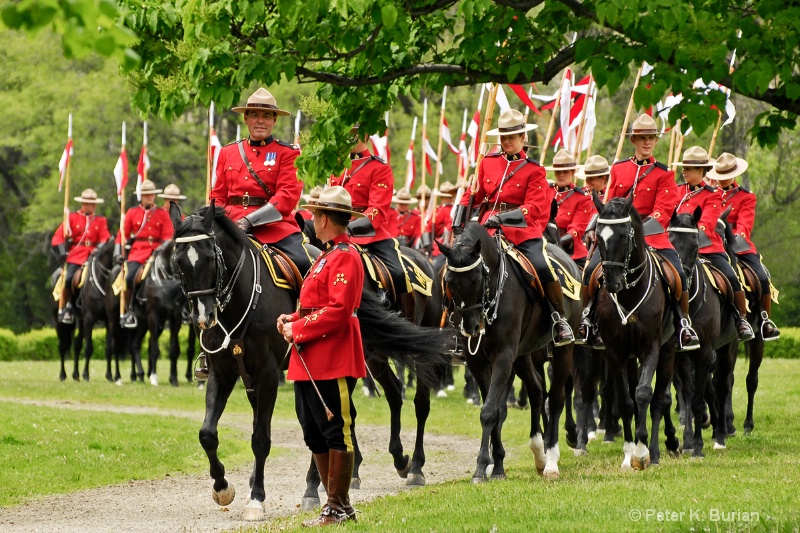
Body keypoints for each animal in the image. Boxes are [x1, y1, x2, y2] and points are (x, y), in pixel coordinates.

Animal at [170, 206, 450, 520]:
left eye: (209, 257)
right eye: (178, 261)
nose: (202, 317)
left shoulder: (267, 375)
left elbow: (261, 438)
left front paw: (256, 498)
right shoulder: (223, 373)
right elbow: (208, 433)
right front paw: (222, 487)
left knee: (417, 403)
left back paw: (409, 469)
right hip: (369, 356)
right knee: (390, 393)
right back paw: (392, 462)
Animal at [440, 222, 580, 480]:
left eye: (478, 279)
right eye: (449, 280)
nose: (471, 327)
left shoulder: (503, 356)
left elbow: (490, 411)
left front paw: (481, 468)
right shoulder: (477, 361)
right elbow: (495, 409)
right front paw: (496, 466)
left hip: (563, 350)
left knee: (556, 398)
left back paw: (551, 460)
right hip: (523, 356)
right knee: (537, 390)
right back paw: (539, 452)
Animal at [592, 193, 680, 468]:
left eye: (623, 235)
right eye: (598, 236)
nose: (612, 282)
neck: (630, 292)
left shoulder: (651, 347)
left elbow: (643, 394)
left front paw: (642, 452)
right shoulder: (615, 352)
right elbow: (625, 400)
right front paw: (629, 453)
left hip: (668, 350)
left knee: (660, 399)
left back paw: (658, 449)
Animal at [668, 208, 736, 454]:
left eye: (695, 244)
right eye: (670, 240)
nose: (681, 277)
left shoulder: (706, 351)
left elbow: (699, 398)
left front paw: (697, 445)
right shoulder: (682, 353)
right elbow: (688, 393)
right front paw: (688, 440)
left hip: (728, 348)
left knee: (723, 384)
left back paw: (721, 434)